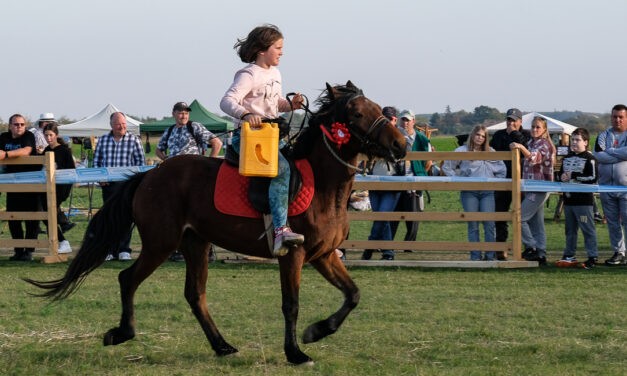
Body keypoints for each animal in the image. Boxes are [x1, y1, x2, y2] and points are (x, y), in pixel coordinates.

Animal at [24, 81, 408, 364]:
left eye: (379, 108)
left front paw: (317, 331)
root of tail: (150, 175)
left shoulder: (324, 255)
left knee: (195, 294)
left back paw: (221, 345)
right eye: (356, 112)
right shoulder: (294, 255)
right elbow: (291, 304)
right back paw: (122, 333)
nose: (400, 146)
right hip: (162, 243)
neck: (322, 187)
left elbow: (353, 294)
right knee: (128, 278)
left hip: (195, 242)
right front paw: (296, 352)